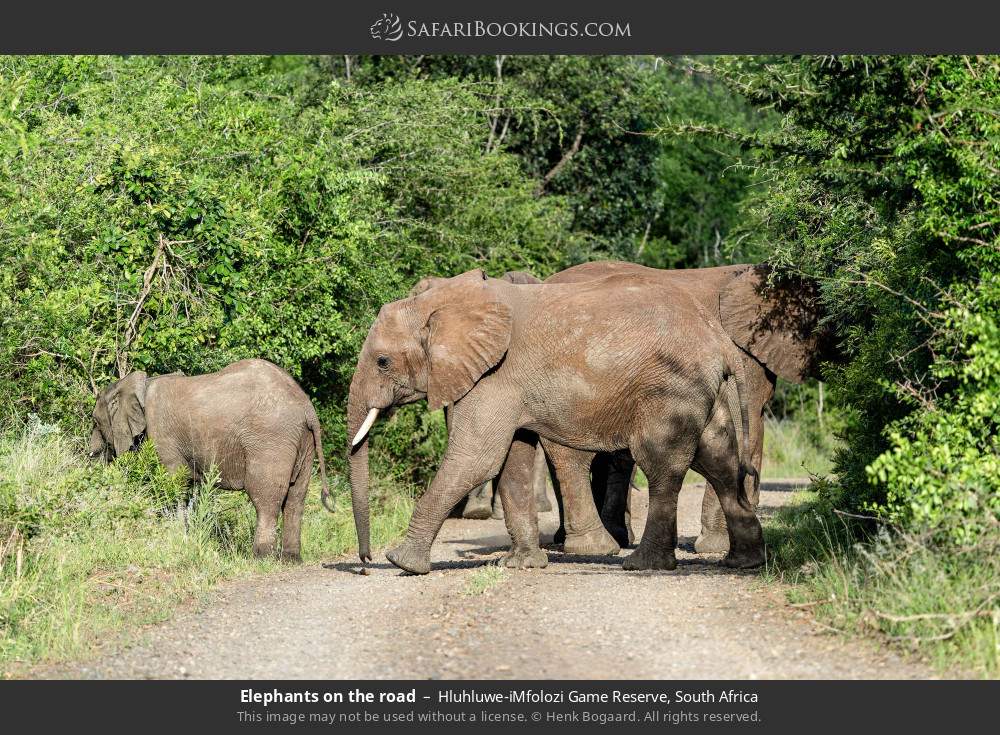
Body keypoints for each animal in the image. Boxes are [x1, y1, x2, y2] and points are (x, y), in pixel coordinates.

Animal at [89, 358, 330, 561]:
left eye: (95, 422)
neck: (141, 384)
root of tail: (306, 407)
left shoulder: (162, 437)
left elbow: (174, 483)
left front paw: (178, 536)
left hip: (270, 440)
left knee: (266, 498)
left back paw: (261, 558)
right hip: (304, 441)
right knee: (296, 498)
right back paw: (291, 559)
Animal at [347, 268, 763, 575]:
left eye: (382, 361)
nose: (365, 562)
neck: (442, 304)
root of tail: (719, 340)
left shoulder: (494, 377)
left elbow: (475, 459)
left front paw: (402, 563)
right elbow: (511, 461)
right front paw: (522, 565)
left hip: (669, 391)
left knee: (662, 466)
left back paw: (643, 565)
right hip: (705, 393)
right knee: (719, 464)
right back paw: (744, 562)